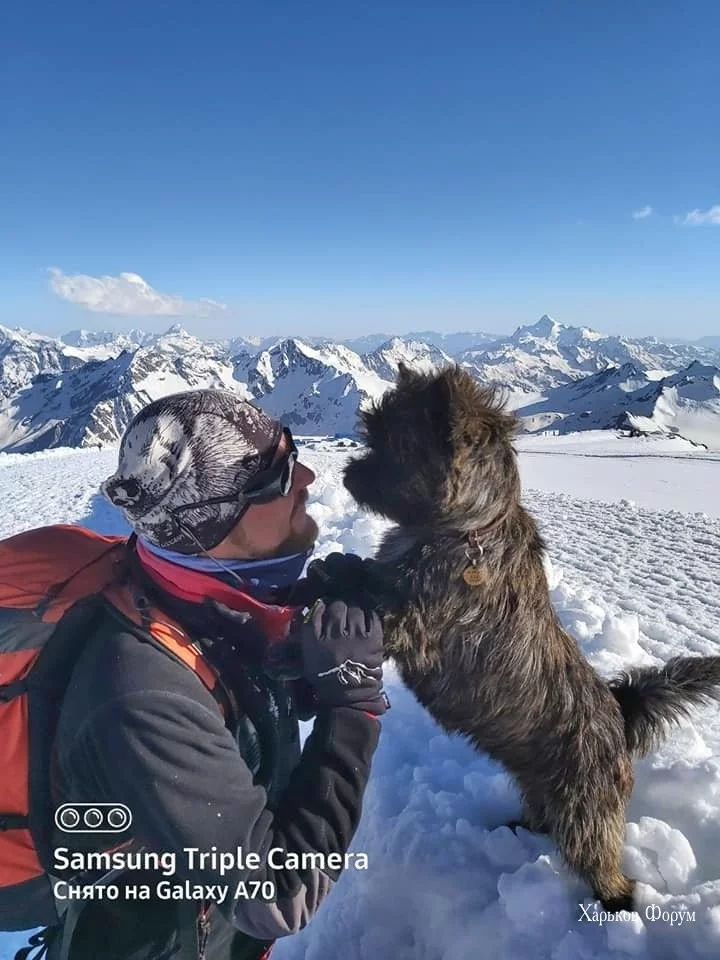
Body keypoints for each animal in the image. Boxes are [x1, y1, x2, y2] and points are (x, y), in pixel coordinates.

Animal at [335, 362, 720, 912]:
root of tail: (619, 715)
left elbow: (378, 605)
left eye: (396, 444)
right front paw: (333, 567)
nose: (349, 474)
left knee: (602, 865)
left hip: (585, 811)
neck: (468, 530)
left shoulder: (415, 624)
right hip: (541, 787)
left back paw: (617, 904)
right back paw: (516, 828)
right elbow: (365, 574)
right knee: (542, 818)